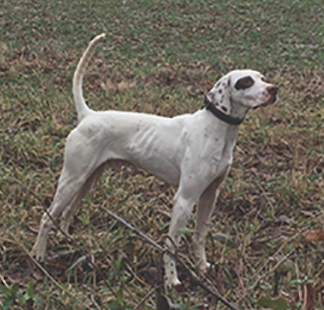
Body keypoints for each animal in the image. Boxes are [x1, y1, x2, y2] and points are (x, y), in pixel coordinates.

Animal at [31, 32, 278, 290]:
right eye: (245, 82)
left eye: (262, 78)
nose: (274, 89)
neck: (216, 130)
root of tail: (88, 115)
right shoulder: (184, 199)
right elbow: (171, 245)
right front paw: (171, 280)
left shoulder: (210, 194)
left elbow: (199, 237)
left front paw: (202, 269)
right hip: (72, 180)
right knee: (47, 216)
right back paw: (39, 254)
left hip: (87, 180)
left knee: (67, 212)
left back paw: (68, 242)